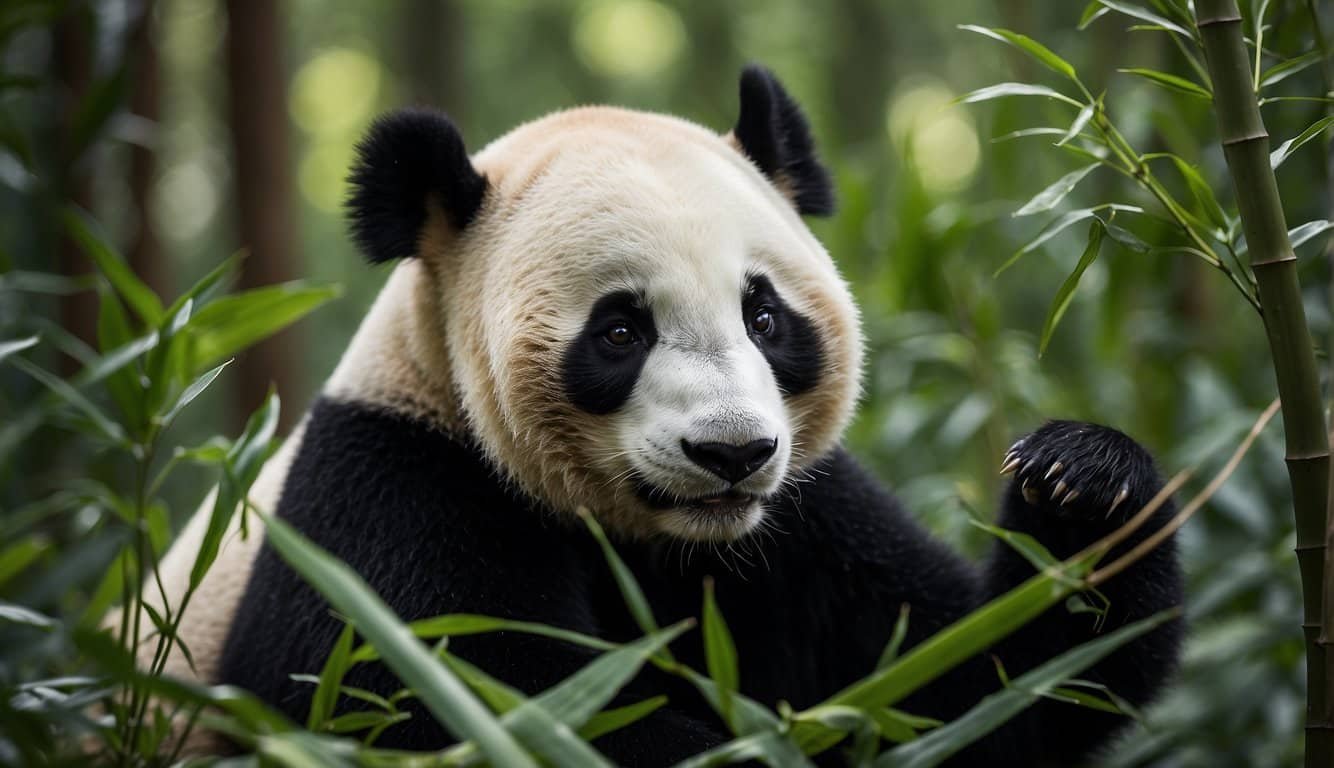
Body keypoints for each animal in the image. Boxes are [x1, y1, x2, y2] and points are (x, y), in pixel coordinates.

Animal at [138, 67, 1179, 768]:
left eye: (766, 317)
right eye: (619, 331)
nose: (732, 453)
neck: (666, 541)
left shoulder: (807, 523)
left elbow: (986, 688)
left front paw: (1082, 479)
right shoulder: (388, 499)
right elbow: (487, 708)